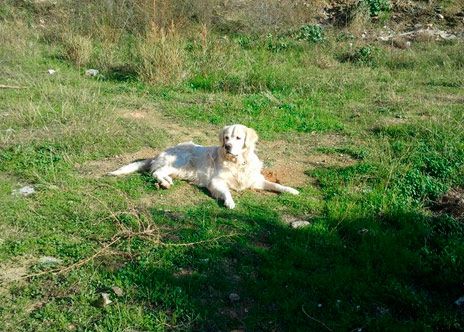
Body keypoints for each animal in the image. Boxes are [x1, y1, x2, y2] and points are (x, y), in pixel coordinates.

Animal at [108, 123, 298, 209]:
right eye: (226, 137)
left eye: (238, 138)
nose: (227, 146)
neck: (237, 162)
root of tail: (159, 153)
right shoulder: (216, 181)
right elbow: (226, 191)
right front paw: (230, 202)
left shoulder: (255, 180)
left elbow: (276, 185)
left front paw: (292, 190)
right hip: (181, 160)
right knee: (156, 171)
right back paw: (165, 182)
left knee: (158, 172)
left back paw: (166, 181)